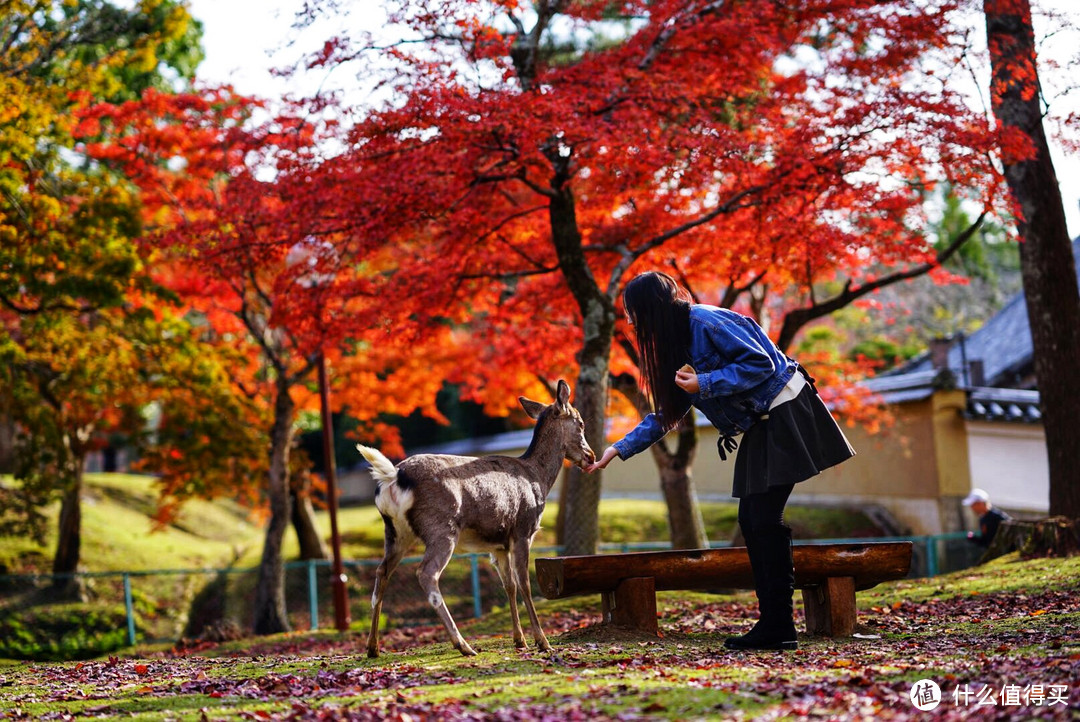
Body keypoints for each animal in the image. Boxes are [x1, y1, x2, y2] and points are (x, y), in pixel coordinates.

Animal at [356, 379, 596, 656]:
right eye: (581, 423)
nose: (591, 456)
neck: (538, 479)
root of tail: (393, 476)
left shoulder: (498, 545)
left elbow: (509, 585)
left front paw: (519, 640)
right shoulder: (522, 530)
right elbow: (525, 582)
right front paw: (542, 641)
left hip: (395, 532)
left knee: (382, 572)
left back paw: (373, 647)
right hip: (441, 527)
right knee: (426, 573)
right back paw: (463, 644)